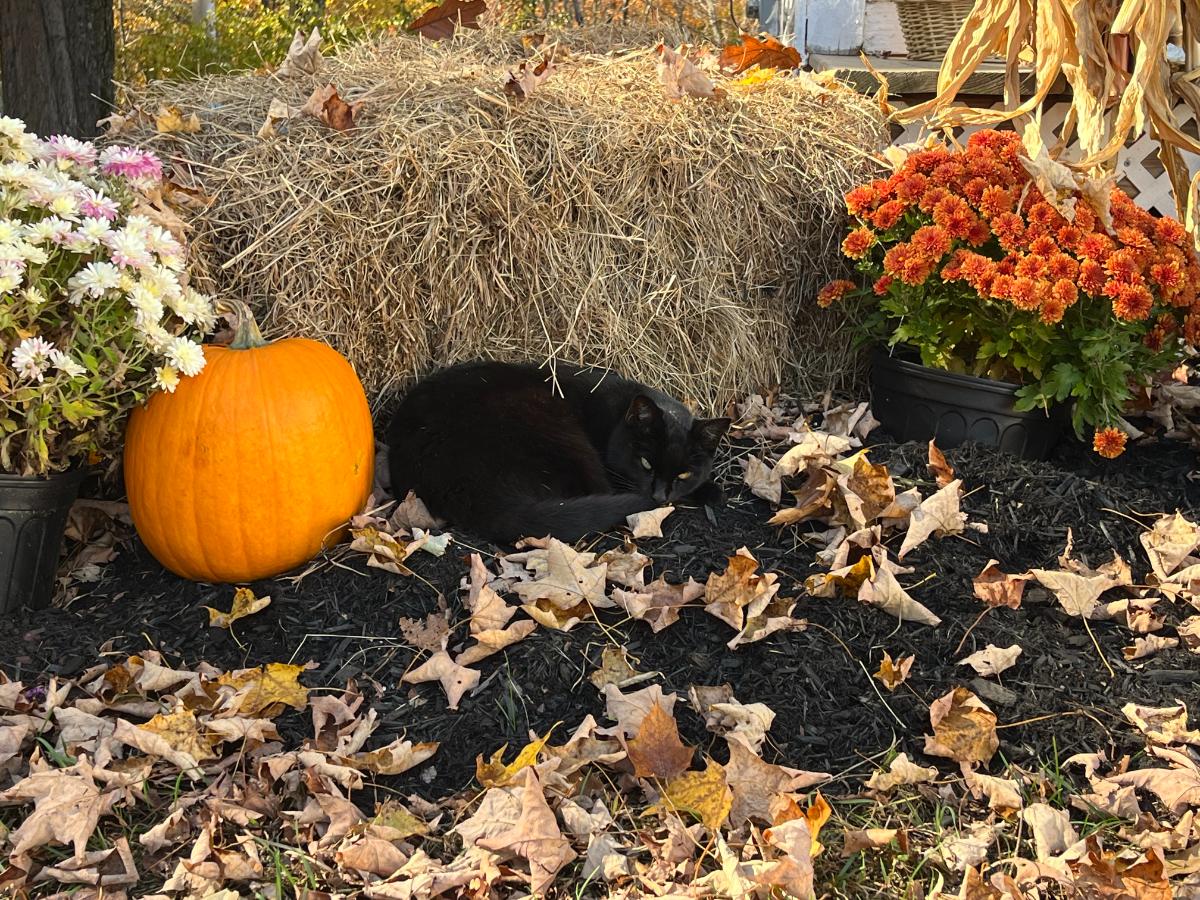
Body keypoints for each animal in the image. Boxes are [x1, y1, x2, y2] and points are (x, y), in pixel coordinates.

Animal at [391, 360, 729, 542]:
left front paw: (709, 489)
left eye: (683, 474)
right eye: (645, 463)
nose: (659, 495)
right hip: (562, 435)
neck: (617, 414)